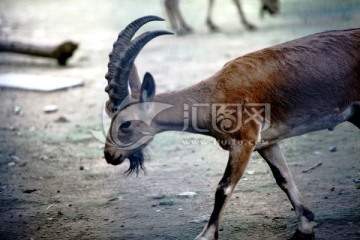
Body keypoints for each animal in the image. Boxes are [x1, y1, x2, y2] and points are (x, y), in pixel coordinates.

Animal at [101, 15, 360, 240]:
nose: (109, 155)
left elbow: (223, 188)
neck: (214, 94)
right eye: (108, 111)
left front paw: (205, 235)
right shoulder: (267, 143)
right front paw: (304, 229)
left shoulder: (243, 142)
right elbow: (283, 178)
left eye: (125, 123)